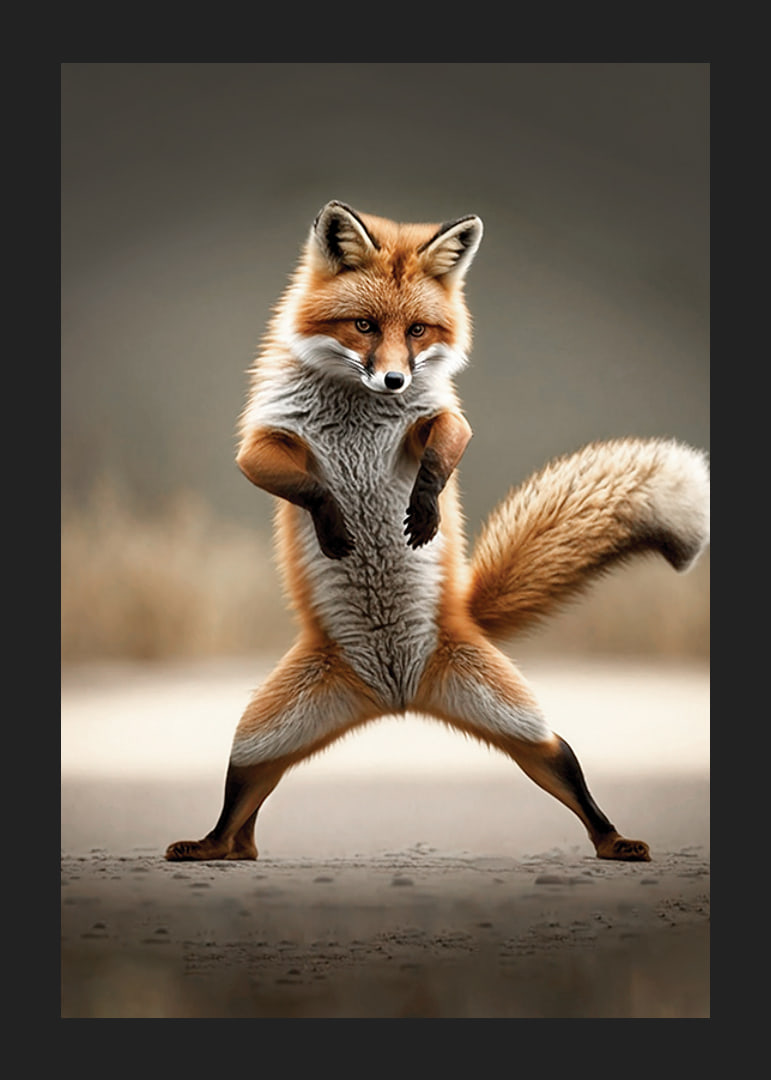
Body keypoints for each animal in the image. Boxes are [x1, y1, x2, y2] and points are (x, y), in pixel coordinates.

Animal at [166, 200, 709, 865]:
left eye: (418, 331)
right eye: (364, 326)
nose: (394, 381)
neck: (358, 412)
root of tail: (396, 697)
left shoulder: (439, 418)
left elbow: (446, 445)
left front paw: (423, 510)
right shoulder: (264, 440)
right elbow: (308, 486)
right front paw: (337, 523)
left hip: (518, 724)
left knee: (565, 764)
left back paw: (614, 841)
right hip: (260, 739)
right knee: (241, 805)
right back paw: (215, 847)